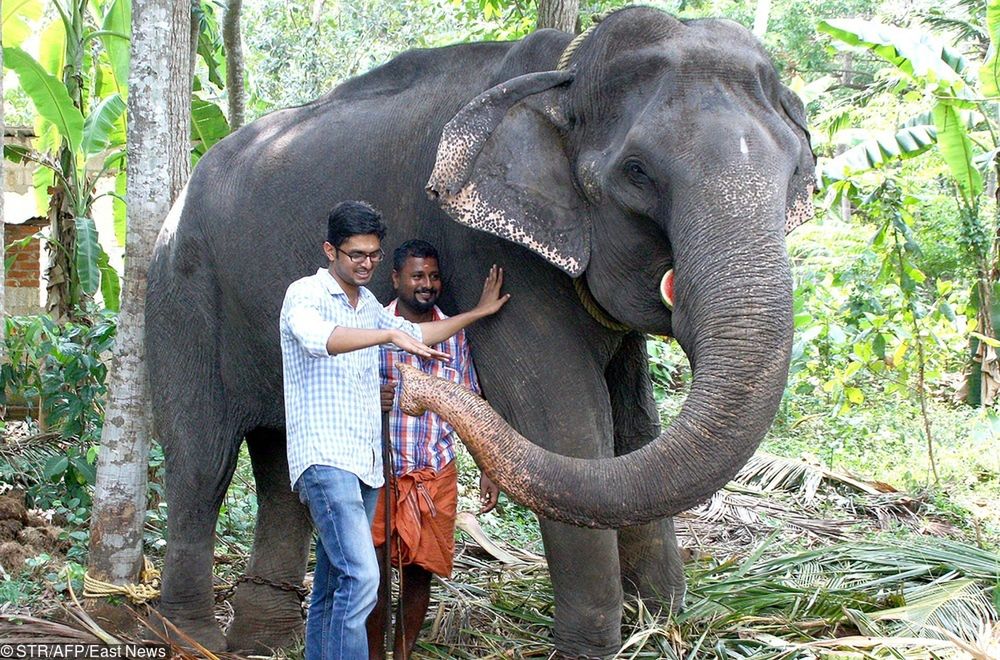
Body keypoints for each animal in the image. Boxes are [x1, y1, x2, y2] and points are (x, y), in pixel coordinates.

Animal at [143, 5, 812, 656]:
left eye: (794, 172)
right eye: (637, 172)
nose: (410, 390)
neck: (566, 73)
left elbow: (634, 424)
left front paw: (667, 622)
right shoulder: (489, 251)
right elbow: (563, 422)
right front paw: (595, 648)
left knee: (283, 463)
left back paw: (261, 640)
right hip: (180, 294)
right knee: (201, 463)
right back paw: (194, 639)